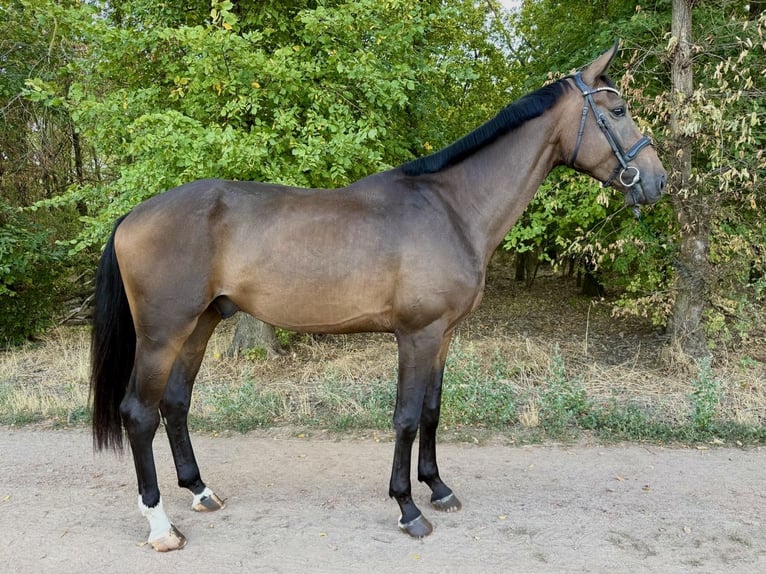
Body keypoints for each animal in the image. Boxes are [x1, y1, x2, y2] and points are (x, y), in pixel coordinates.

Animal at [90, 41, 666, 551]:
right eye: (618, 110)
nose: (657, 181)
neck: (451, 208)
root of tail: (134, 215)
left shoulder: (442, 336)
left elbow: (432, 410)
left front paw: (438, 488)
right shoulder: (416, 335)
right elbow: (406, 417)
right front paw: (408, 508)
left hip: (201, 324)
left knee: (175, 403)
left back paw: (200, 490)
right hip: (162, 333)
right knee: (140, 413)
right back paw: (161, 525)